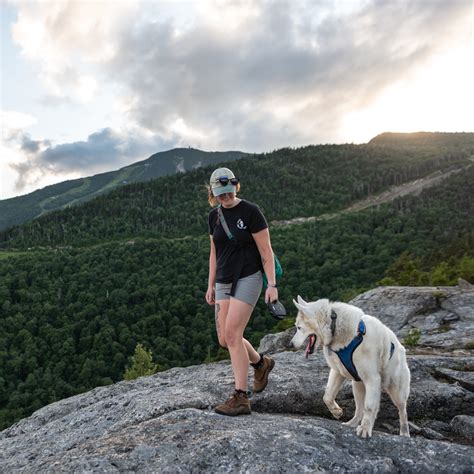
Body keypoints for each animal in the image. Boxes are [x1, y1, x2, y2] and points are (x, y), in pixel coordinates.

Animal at [290, 296, 410, 436]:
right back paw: (351, 423)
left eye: (298, 327)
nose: (290, 344)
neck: (335, 326)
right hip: (357, 385)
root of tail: (402, 348)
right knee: (359, 409)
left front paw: (365, 429)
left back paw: (404, 433)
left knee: (402, 411)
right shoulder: (337, 371)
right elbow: (327, 396)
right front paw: (336, 412)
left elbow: (370, 406)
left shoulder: (372, 379)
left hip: (397, 392)